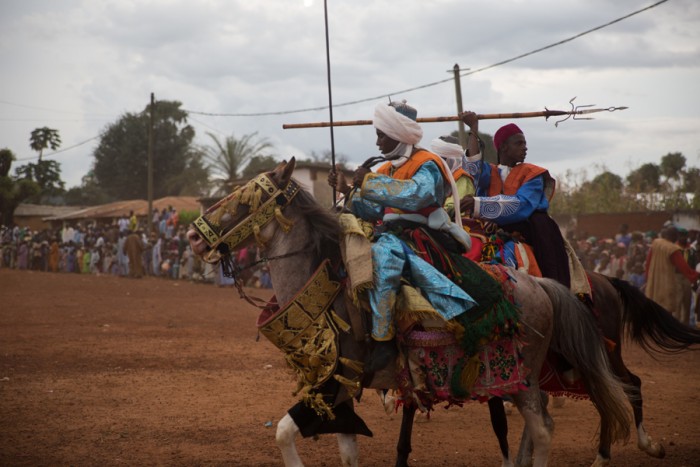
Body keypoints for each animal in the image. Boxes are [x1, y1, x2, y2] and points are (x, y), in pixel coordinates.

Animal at [185, 159, 628, 466]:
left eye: (246, 199)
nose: (192, 235)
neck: (327, 293)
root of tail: (542, 285)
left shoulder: (330, 386)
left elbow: (281, 434)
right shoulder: (339, 391)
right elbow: (347, 453)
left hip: (523, 380)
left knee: (544, 431)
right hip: (522, 382)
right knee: (538, 429)